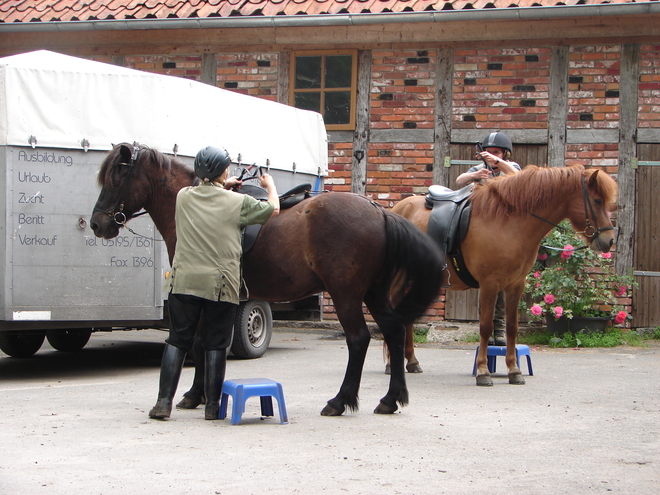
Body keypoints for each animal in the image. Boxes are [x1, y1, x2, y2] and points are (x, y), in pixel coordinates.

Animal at [90, 143, 446, 414]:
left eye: (117, 177)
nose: (97, 224)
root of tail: (379, 211)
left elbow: (199, 342)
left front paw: (193, 395)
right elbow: (207, 342)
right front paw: (202, 394)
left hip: (346, 295)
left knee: (359, 339)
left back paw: (340, 401)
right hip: (374, 293)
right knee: (394, 333)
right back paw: (390, 399)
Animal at [390, 165, 616, 386]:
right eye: (597, 200)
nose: (610, 240)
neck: (509, 222)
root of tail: (396, 210)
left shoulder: (515, 285)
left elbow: (511, 327)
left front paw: (514, 370)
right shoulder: (489, 284)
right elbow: (485, 326)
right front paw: (483, 372)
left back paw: (411, 362)